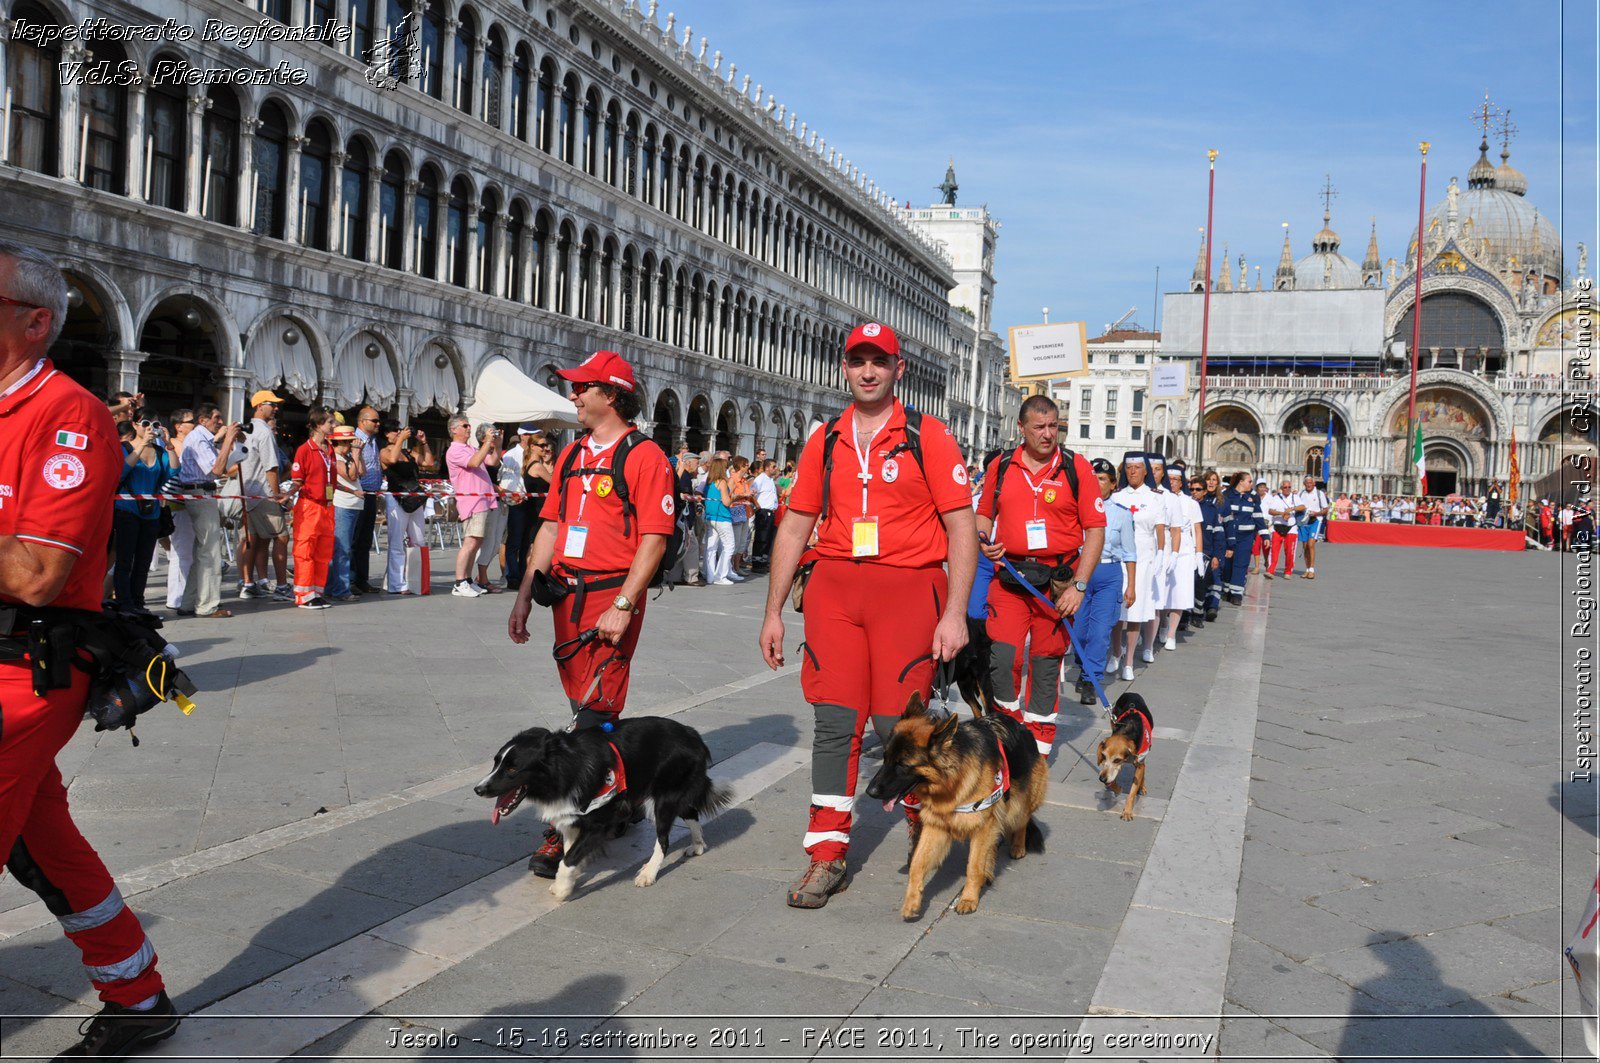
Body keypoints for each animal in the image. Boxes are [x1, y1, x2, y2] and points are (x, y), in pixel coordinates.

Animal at [470, 717, 729, 902]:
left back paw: (649, 873)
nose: (478, 789)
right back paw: (697, 846)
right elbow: (569, 852)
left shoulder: (601, 820)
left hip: (663, 798)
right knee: (691, 812)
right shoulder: (571, 817)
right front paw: (571, 877)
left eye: (513, 769)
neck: (564, 766)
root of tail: (693, 734)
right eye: (496, 763)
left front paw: (563, 888)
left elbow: (569, 858)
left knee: (664, 839)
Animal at [870, 694, 1043, 915]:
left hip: (1017, 803)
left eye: (902, 765)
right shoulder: (936, 826)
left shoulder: (983, 825)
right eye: (885, 758)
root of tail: (1022, 727)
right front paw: (912, 901)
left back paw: (1018, 847)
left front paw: (968, 898)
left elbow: (973, 866)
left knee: (1022, 819)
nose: (870, 791)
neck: (952, 781)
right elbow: (917, 863)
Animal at [1094, 688, 1158, 819]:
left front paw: (1127, 811)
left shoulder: (1138, 764)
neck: (1126, 732)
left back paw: (1142, 786)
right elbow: (1112, 780)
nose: (1102, 779)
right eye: (1103, 756)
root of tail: (1131, 692)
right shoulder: (1111, 770)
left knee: (1143, 768)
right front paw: (1116, 789)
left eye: (1117, 760)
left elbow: (1132, 792)